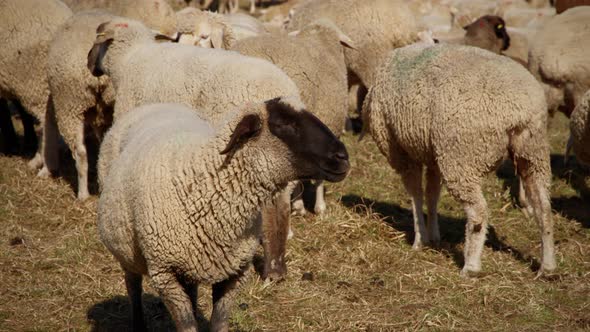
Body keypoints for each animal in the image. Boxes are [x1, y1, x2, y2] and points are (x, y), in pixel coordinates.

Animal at [98, 100, 352, 330]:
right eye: (284, 124)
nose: (343, 157)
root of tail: (154, 105)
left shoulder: (236, 272)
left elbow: (218, 324)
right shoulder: (165, 274)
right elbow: (187, 326)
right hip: (127, 248)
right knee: (133, 285)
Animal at [364, 42, 556, 276]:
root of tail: (517, 110)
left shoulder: (402, 153)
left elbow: (416, 195)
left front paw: (420, 239)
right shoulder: (433, 155)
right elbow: (432, 194)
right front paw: (433, 236)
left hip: (461, 157)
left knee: (478, 212)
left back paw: (470, 266)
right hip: (533, 152)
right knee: (543, 208)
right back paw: (548, 267)